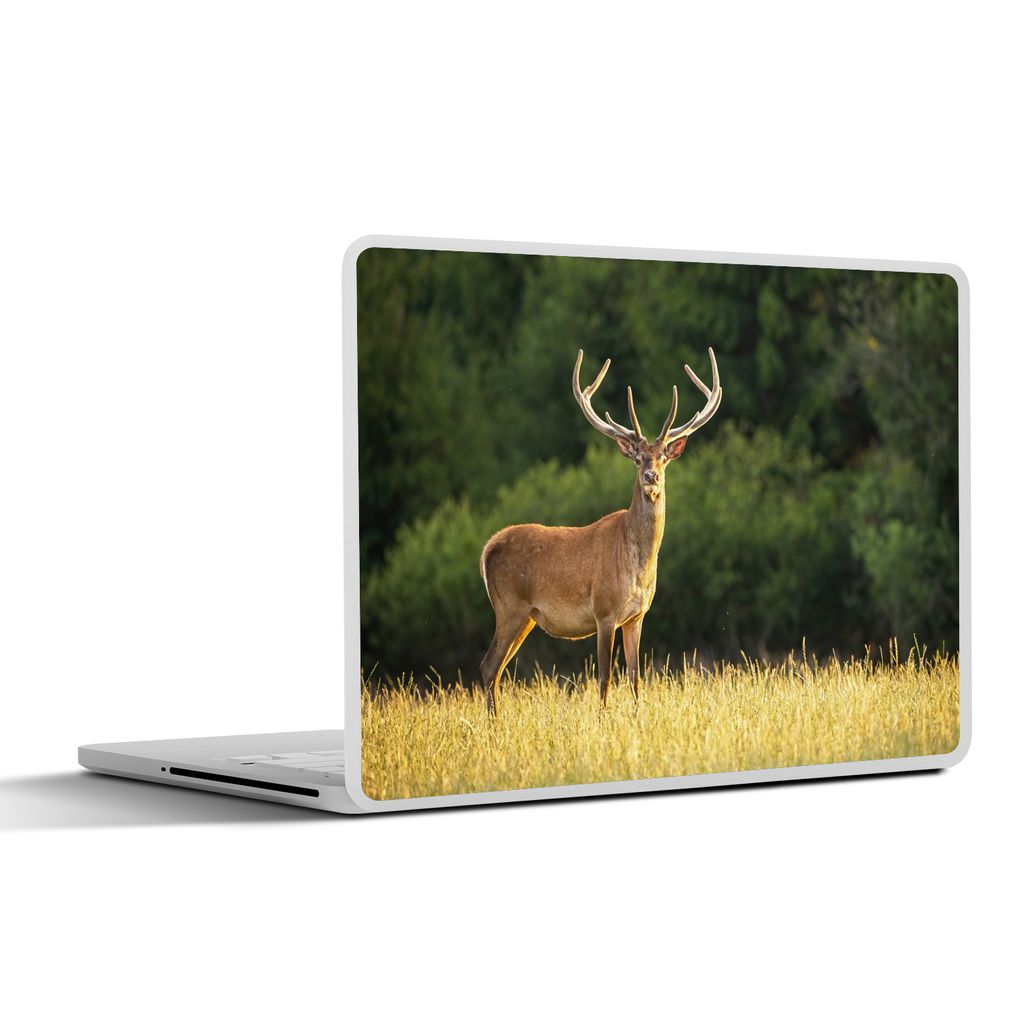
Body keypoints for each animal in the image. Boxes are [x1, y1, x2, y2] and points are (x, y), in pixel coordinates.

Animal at [478, 347, 722, 715]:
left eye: (663, 457)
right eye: (637, 458)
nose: (652, 476)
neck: (637, 565)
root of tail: (488, 548)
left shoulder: (637, 616)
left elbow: (636, 678)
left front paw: (638, 717)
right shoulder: (604, 612)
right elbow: (605, 678)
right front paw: (602, 719)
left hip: (526, 617)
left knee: (496, 668)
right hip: (509, 606)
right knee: (488, 666)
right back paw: (494, 723)